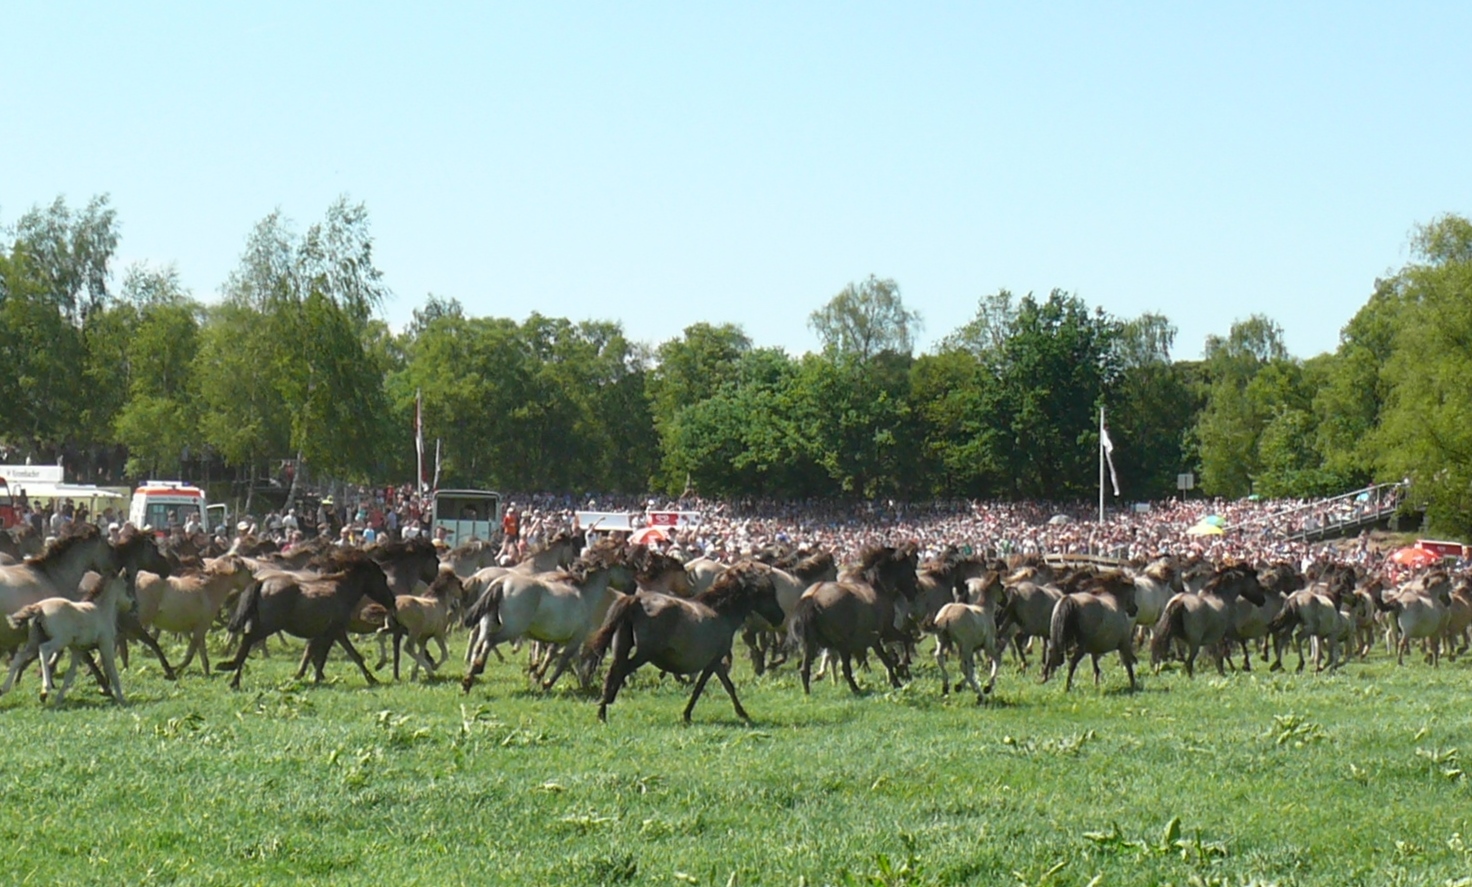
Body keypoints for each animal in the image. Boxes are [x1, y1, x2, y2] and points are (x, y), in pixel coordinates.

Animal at [213, 553, 397, 691]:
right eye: (381, 577)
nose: (392, 600)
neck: (342, 589)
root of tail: (261, 582)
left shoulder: (328, 633)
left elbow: (324, 656)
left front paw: (314, 678)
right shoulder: (335, 631)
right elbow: (342, 656)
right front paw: (372, 679)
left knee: (246, 641)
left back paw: (234, 678)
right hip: (268, 625)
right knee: (248, 640)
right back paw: (230, 671)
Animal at [585, 564, 783, 726]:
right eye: (766, 592)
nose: (780, 617)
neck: (719, 611)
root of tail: (637, 600)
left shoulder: (716, 662)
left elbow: (728, 686)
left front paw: (742, 713)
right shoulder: (713, 662)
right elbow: (701, 688)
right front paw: (687, 715)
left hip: (622, 649)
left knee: (612, 674)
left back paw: (603, 709)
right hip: (643, 654)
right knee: (619, 673)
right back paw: (604, 708)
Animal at [788, 544, 912, 697]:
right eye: (909, 567)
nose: (914, 591)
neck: (873, 585)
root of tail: (812, 597)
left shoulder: (874, 639)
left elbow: (888, 656)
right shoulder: (886, 632)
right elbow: (903, 642)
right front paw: (901, 670)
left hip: (809, 644)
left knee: (805, 669)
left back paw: (808, 693)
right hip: (842, 644)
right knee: (845, 669)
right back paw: (856, 689)